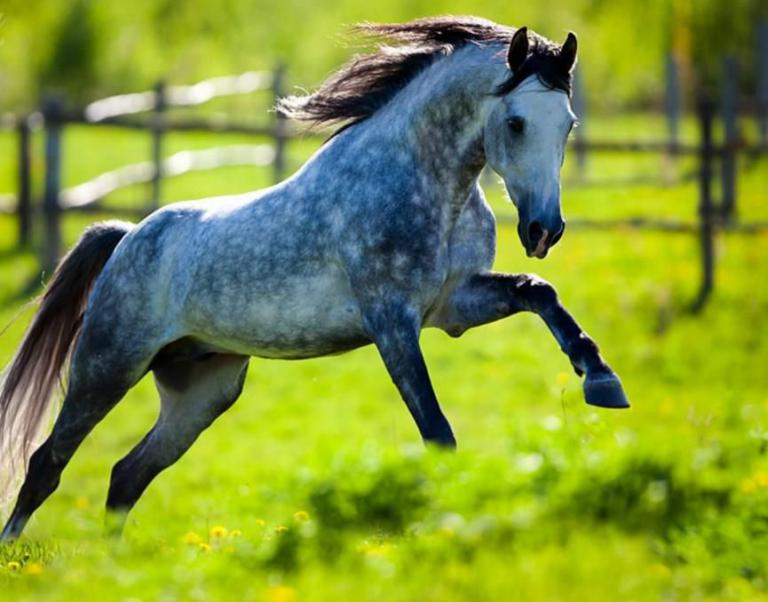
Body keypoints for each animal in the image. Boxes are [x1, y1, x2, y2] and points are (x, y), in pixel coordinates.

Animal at [0, 17, 629, 540]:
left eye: (568, 125)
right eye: (517, 122)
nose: (544, 230)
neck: (423, 182)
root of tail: (127, 238)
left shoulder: (452, 305)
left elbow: (539, 293)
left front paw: (601, 379)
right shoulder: (393, 323)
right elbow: (437, 431)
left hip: (202, 392)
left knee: (125, 476)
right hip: (108, 366)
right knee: (46, 465)